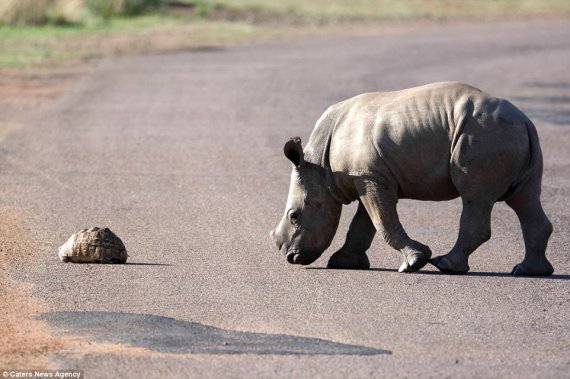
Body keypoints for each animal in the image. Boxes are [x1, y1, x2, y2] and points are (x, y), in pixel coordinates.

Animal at [268, 81, 552, 276]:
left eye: (294, 216)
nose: (290, 258)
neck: (320, 167)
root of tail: (525, 120)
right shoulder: (369, 176)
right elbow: (364, 224)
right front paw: (343, 263)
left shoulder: (370, 177)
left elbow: (382, 221)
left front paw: (414, 262)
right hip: (506, 133)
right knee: (525, 199)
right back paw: (528, 271)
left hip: (484, 134)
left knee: (475, 197)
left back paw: (445, 265)